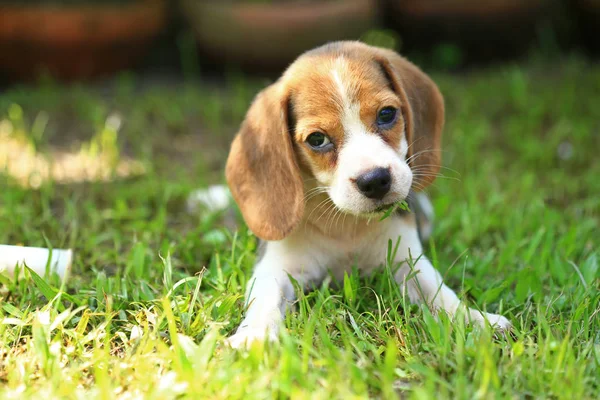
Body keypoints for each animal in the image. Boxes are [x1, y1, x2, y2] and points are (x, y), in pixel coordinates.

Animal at [225, 39, 510, 346]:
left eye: (386, 114)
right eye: (317, 139)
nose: (374, 181)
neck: (347, 227)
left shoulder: (406, 258)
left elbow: (438, 291)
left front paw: (475, 320)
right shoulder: (276, 267)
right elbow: (266, 300)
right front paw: (254, 336)